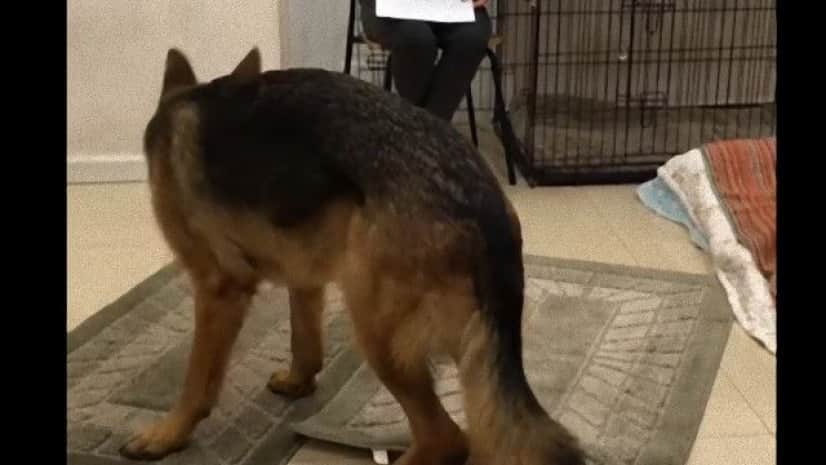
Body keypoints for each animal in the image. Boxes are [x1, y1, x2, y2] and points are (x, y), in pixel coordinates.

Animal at [120, 47, 584, 465]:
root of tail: (483, 200)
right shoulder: (303, 274)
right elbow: (305, 343)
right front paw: (298, 382)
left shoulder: (218, 289)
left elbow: (198, 381)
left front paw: (168, 434)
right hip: (454, 345)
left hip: (377, 330)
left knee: (447, 438)